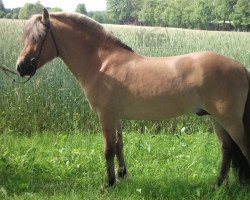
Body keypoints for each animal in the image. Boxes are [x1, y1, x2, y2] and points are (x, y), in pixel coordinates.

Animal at [16, 9, 250, 188]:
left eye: (38, 37)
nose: (20, 67)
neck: (102, 63)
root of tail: (241, 67)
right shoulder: (115, 117)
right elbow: (119, 144)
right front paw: (122, 175)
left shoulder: (105, 116)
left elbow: (108, 149)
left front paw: (109, 183)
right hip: (216, 119)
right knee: (226, 149)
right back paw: (216, 185)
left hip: (230, 120)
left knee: (243, 148)